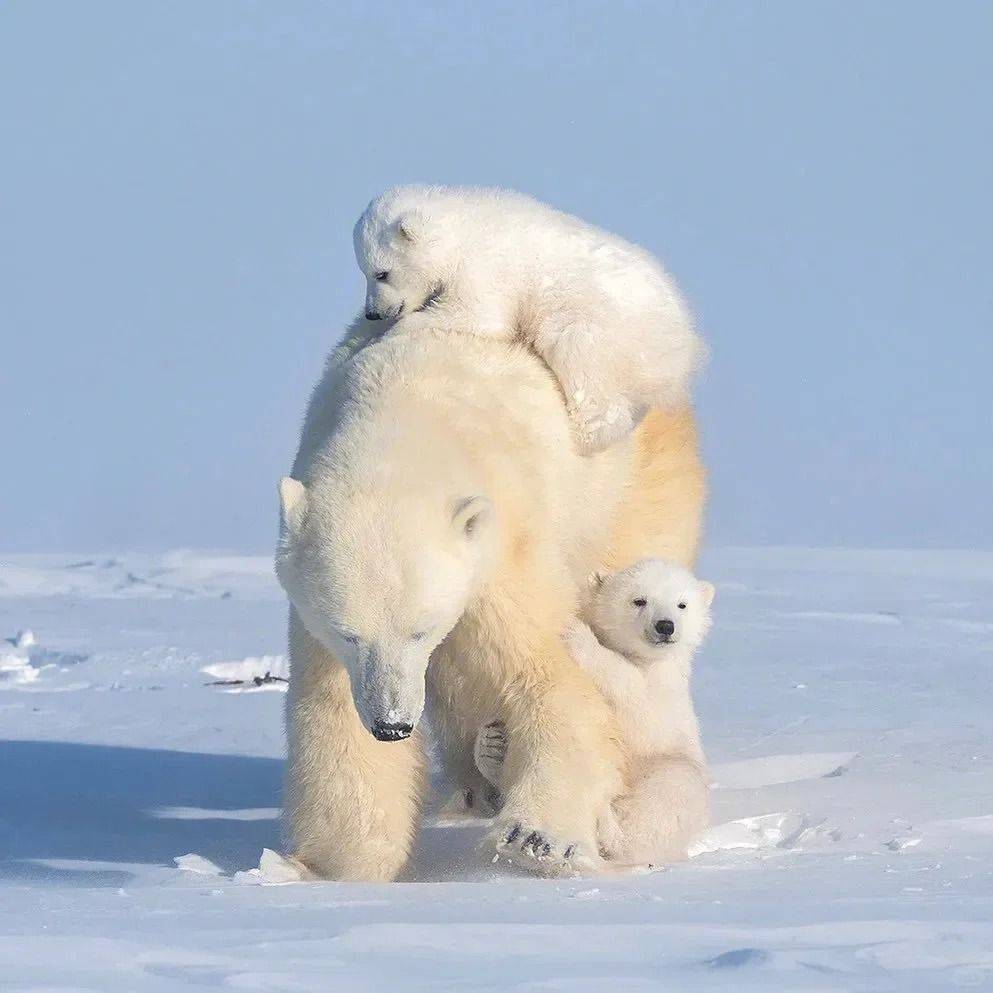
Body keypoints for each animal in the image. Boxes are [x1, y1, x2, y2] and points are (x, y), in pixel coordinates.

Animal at [352, 185, 700, 454]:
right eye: (364, 271)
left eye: (382, 273)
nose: (373, 312)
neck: (459, 229)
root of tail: (685, 347)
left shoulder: (483, 267)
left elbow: (477, 313)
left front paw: (385, 333)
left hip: (609, 325)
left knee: (577, 354)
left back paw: (586, 436)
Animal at [478, 560, 712, 868]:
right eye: (639, 600)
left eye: (682, 604)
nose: (665, 626)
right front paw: (490, 742)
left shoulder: (665, 691)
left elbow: (636, 699)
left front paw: (575, 633)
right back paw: (492, 748)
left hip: (669, 768)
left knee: (669, 790)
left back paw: (608, 827)